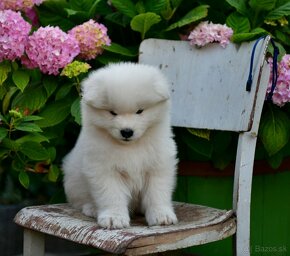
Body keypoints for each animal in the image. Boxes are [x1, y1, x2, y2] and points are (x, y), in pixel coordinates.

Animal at [62, 61, 178, 228]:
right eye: (112, 112)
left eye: (140, 111)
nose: (127, 132)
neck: (131, 147)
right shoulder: (104, 170)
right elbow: (111, 195)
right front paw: (114, 218)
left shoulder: (158, 166)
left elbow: (157, 193)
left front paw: (162, 215)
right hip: (74, 182)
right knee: (81, 201)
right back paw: (92, 208)